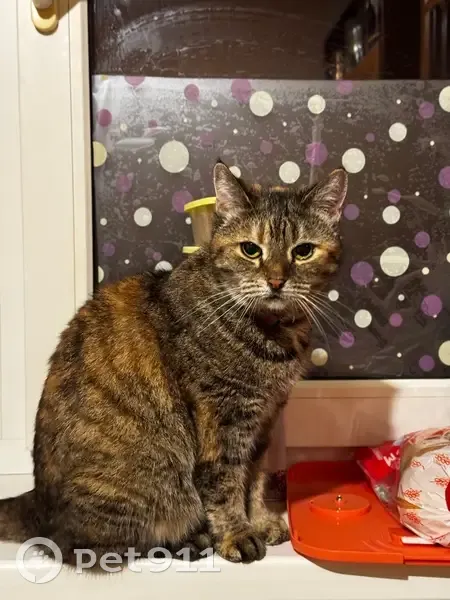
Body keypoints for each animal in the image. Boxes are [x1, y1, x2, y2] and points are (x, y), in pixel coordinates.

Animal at [0, 162, 347, 566]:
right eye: (250, 249)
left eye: (303, 251)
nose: (276, 281)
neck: (275, 334)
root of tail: (35, 503)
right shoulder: (223, 418)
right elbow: (226, 483)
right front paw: (237, 534)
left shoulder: (266, 419)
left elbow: (256, 478)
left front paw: (260, 520)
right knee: (89, 547)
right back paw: (190, 540)